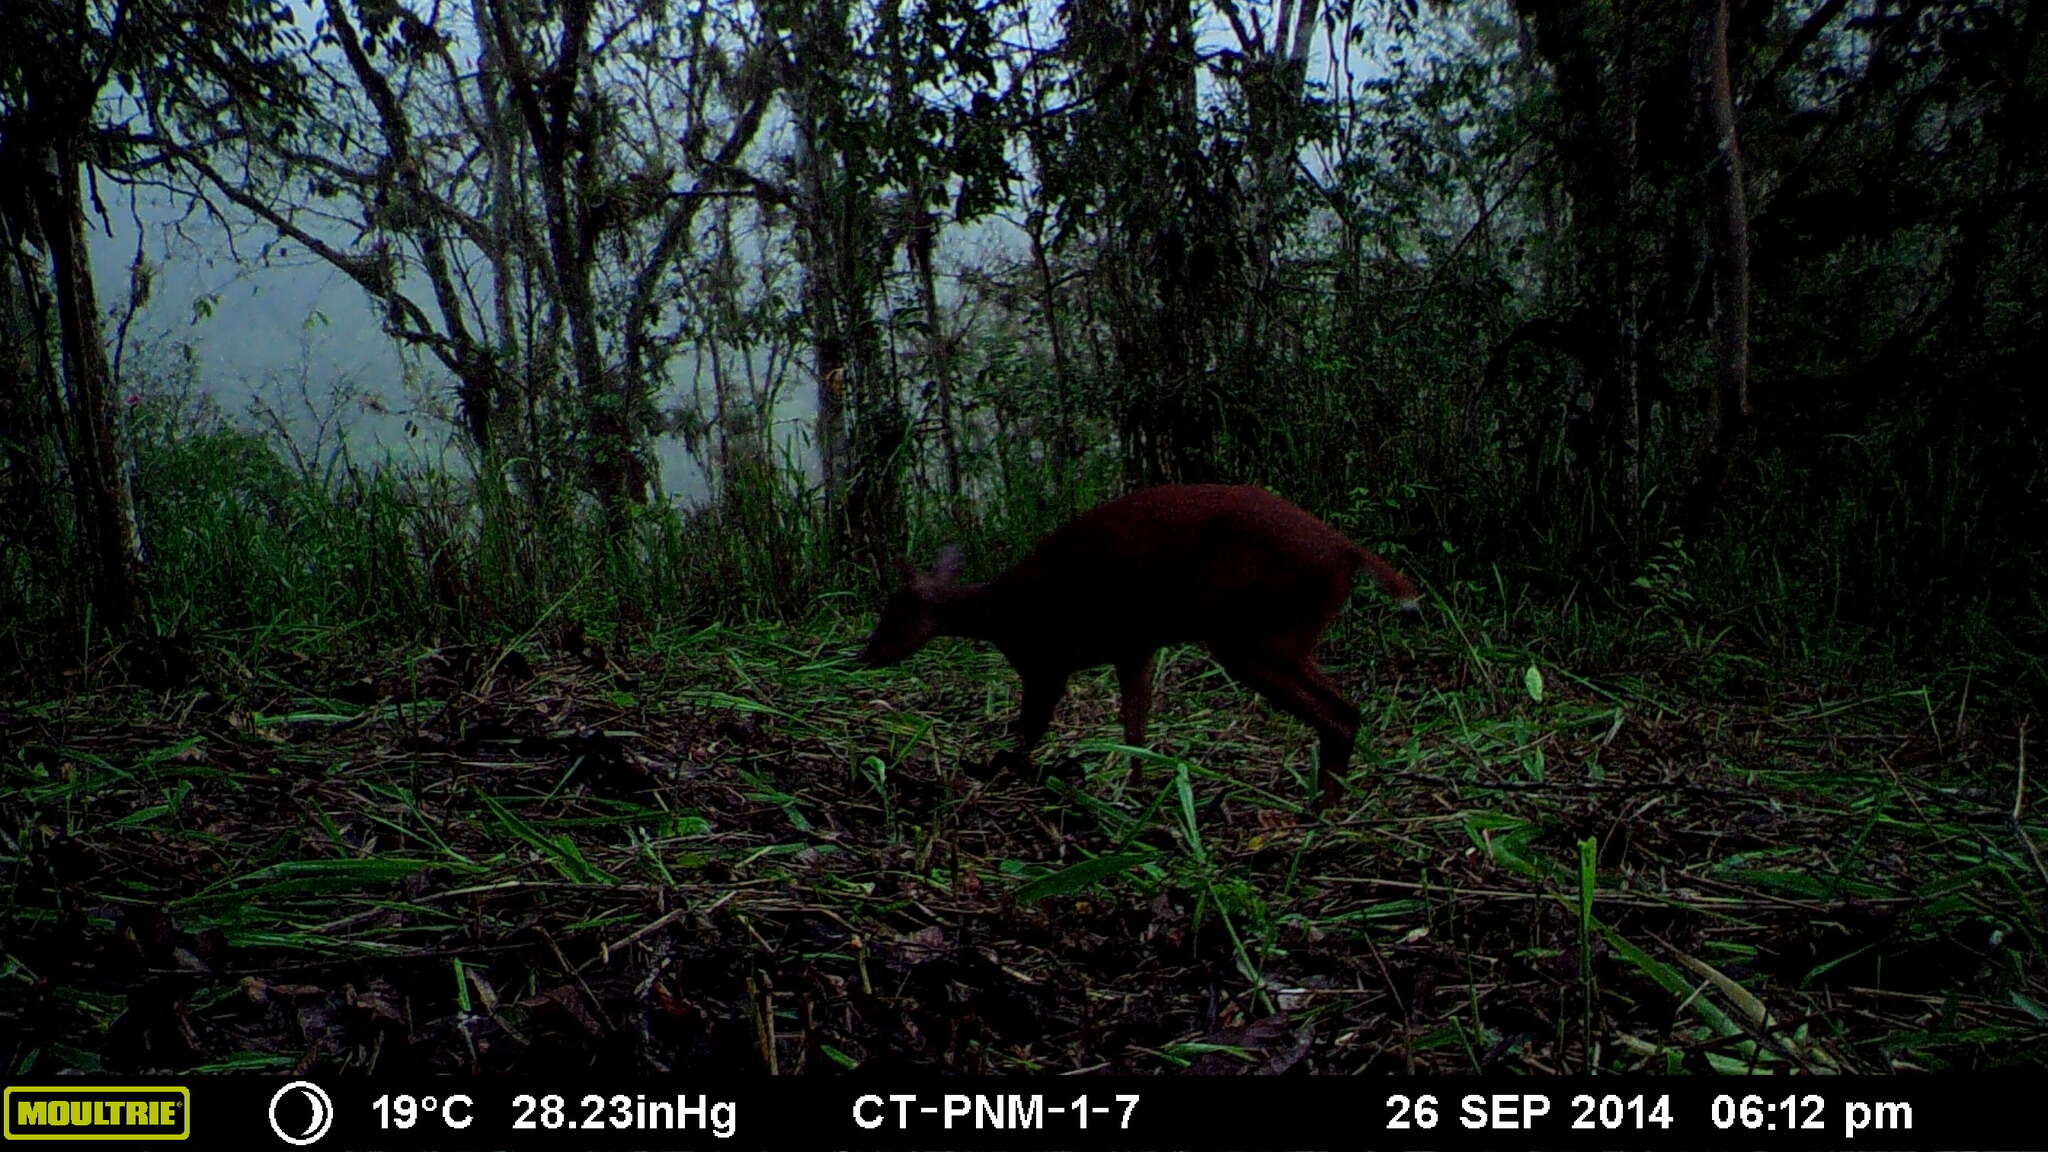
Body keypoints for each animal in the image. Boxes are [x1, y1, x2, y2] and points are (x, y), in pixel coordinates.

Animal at [851, 483, 1425, 807]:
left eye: (893, 612)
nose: (864, 654)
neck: (999, 612)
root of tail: (1349, 552)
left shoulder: (1047, 657)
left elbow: (1031, 729)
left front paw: (992, 769)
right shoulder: (1134, 648)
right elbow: (1135, 729)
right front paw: (1138, 795)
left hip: (1250, 631)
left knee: (1340, 714)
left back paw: (1321, 812)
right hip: (1284, 634)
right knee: (1348, 709)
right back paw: (1324, 808)